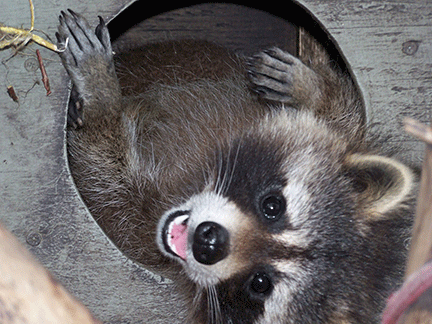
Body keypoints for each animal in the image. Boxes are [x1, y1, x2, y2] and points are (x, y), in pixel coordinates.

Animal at [56, 10, 416, 324]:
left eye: (260, 283)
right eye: (272, 205)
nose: (208, 241)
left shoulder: (141, 236)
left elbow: (102, 181)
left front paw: (101, 104)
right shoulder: (341, 134)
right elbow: (346, 113)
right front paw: (312, 87)